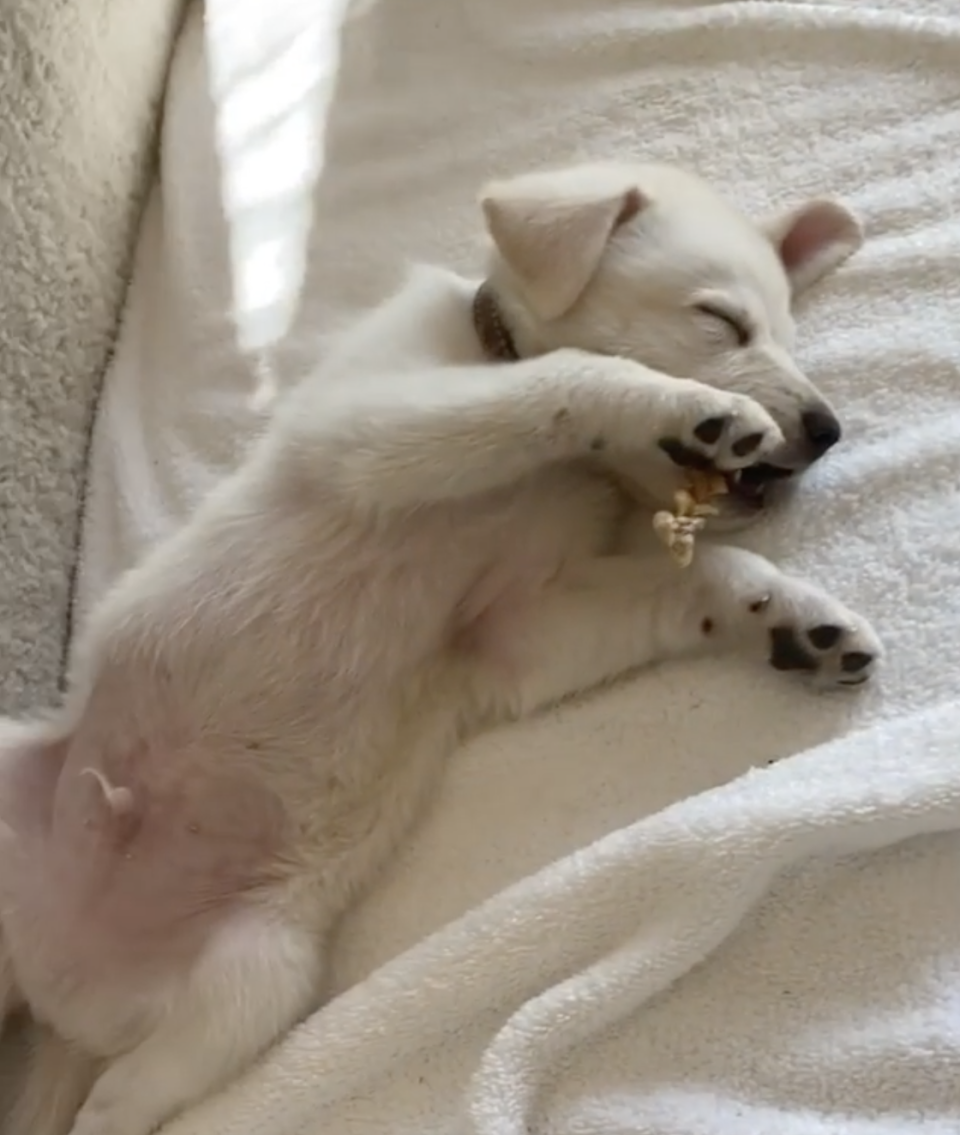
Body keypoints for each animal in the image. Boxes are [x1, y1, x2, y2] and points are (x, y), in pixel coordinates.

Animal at [0, 162, 885, 1135]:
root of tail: (60, 988)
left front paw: (791, 618)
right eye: (721, 320)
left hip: (251, 980)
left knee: (117, 1100)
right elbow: (562, 377)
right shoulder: (368, 432)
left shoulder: (516, 623)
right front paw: (689, 410)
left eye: (789, 333)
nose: (827, 429)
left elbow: (698, 577)